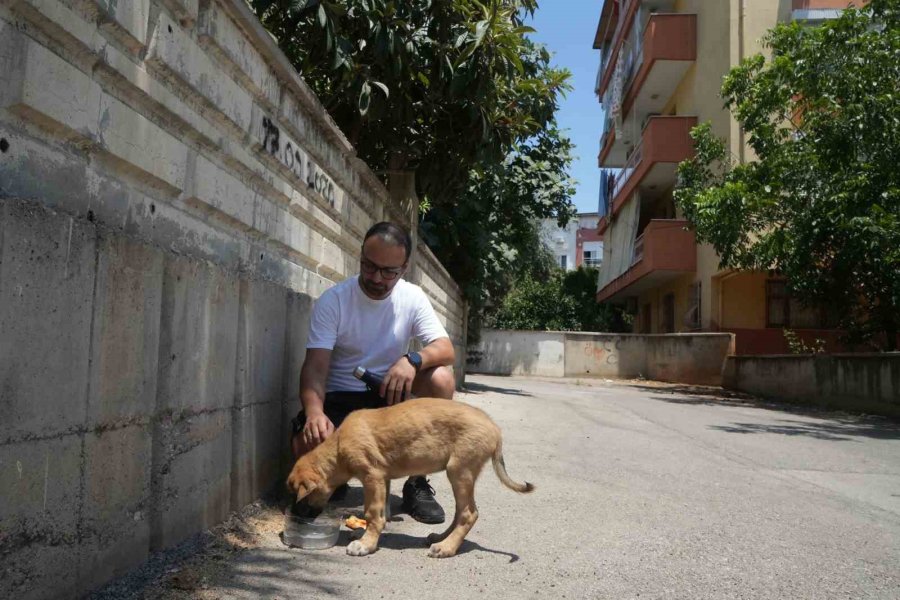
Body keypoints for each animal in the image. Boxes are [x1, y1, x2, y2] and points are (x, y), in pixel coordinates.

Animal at [284, 398, 532, 556]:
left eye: (300, 496)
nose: (297, 515)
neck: (337, 448)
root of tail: (495, 429)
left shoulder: (372, 476)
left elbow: (372, 513)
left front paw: (366, 544)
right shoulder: (382, 479)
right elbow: (381, 514)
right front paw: (368, 536)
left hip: (459, 471)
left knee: (469, 513)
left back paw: (447, 548)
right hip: (460, 475)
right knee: (461, 511)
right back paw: (441, 538)